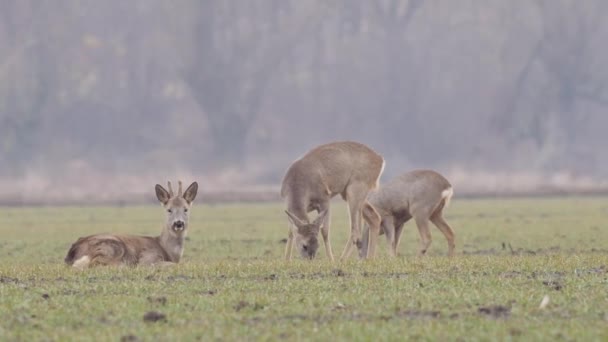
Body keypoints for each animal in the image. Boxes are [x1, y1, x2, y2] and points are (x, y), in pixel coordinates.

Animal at [66, 180, 200, 268]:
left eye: (186, 209)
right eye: (169, 210)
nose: (178, 223)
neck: (166, 249)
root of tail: (71, 253)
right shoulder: (147, 258)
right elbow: (176, 265)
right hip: (113, 246)